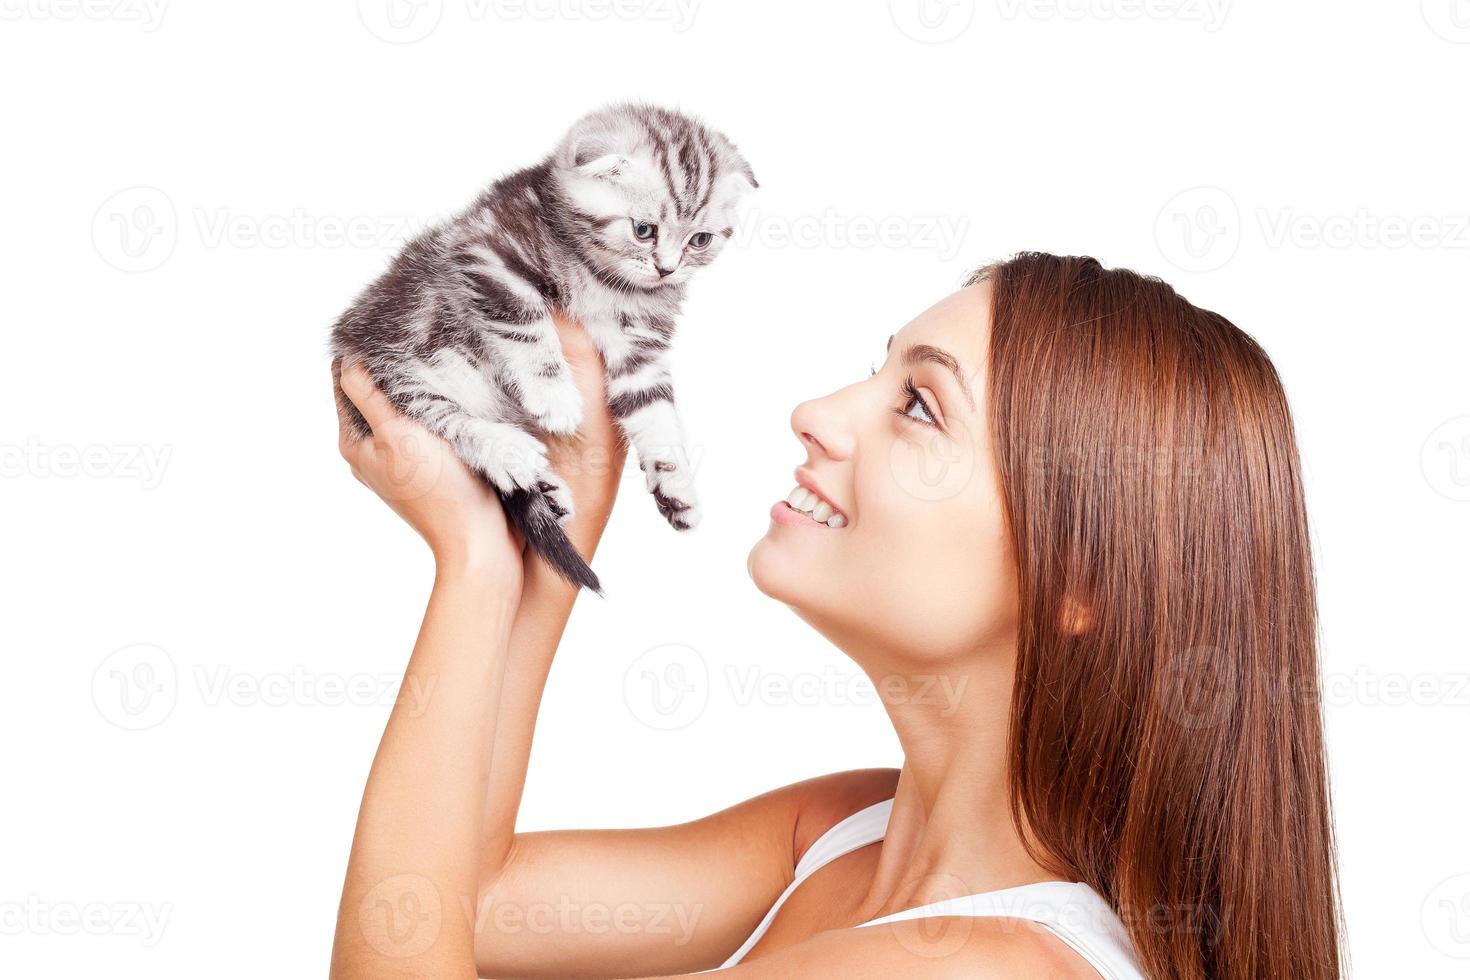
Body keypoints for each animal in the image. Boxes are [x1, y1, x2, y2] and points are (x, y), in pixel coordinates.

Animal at [333, 103, 758, 593]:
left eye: (699, 240)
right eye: (643, 230)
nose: (667, 269)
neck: (607, 277)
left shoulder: (639, 348)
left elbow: (656, 411)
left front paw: (677, 484)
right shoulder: (487, 253)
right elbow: (525, 323)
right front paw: (553, 395)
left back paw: (548, 493)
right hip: (393, 361)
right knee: (441, 417)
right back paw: (506, 449)